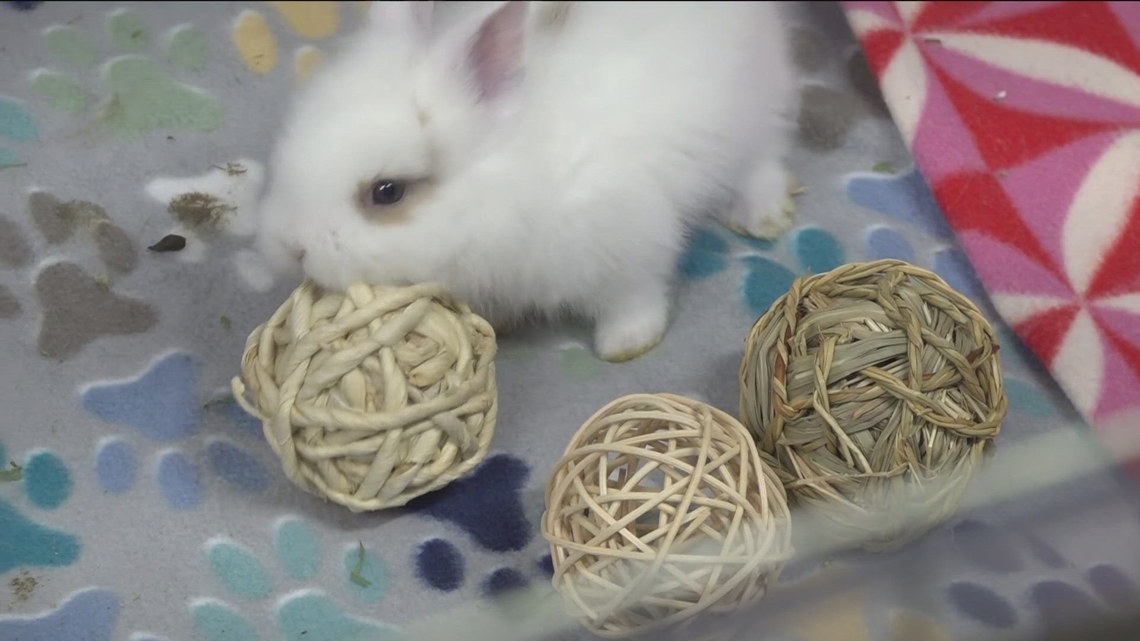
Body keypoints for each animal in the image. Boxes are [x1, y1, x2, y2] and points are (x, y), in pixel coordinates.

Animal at [254, 0, 798, 362]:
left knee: (764, 155)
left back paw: (763, 217)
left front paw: (625, 344)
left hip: (752, 108)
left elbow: (633, 296)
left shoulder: (627, 242)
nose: (292, 248)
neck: (504, 181)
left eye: (388, 192)